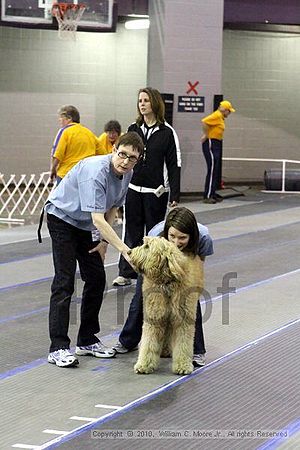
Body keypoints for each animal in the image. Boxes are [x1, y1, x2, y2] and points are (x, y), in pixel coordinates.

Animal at [129, 237, 204, 374]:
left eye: (147, 246)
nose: (129, 252)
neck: (167, 282)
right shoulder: (154, 318)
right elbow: (149, 343)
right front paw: (144, 365)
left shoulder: (183, 320)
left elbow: (183, 344)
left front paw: (183, 366)